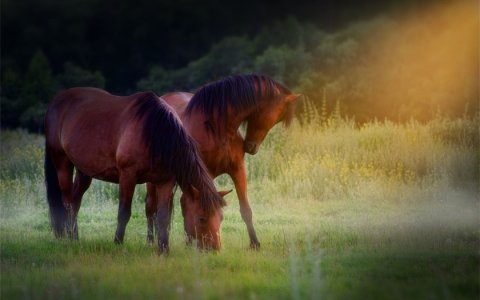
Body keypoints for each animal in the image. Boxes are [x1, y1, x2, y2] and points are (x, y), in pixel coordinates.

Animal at [44, 87, 226, 253]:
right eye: (202, 218)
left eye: (221, 217)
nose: (215, 249)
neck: (154, 134)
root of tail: (56, 101)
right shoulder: (127, 176)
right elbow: (124, 212)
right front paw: (118, 243)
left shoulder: (165, 182)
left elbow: (163, 216)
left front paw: (164, 249)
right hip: (62, 162)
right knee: (67, 202)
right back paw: (68, 239)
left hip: (84, 171)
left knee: (76, 201)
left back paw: (75, 237)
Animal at [145, 75, 300, 248]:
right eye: (276, 116)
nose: (251, 147)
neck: (217, 128)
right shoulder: (206, 174)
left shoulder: (238, 169)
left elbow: (246, 209)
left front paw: (255, 243)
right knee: (151, 206)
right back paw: (152, 240)